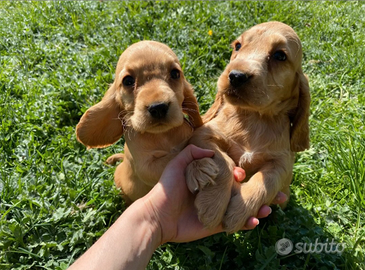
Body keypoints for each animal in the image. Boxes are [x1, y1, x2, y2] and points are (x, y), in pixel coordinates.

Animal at [76, 41, 202, 204]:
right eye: (128, 81)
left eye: (175, 73)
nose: (158, 108)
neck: (163, 136)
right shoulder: (147, 167)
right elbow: (176, 155)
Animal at [186, 21, 308, 232]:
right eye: (238, 46)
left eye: (280, 55)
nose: (236, 76)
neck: (255, 118)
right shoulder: (203, 135)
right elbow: (223, 161)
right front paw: (212, 205)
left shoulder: (283, 162)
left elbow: (267, 180)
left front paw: (239, 211)